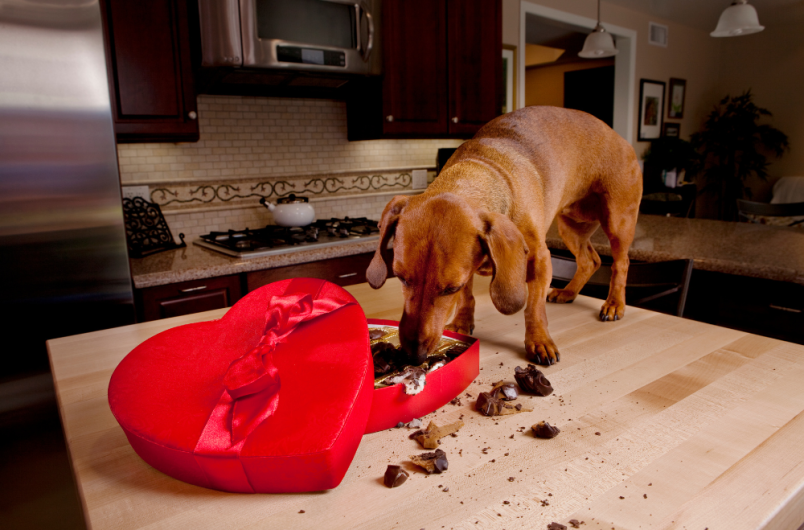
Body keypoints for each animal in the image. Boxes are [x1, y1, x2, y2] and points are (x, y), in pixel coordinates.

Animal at [370, 105, 640, 366]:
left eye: (450, 289)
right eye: (401, 278)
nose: (413, 356)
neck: (481, 169)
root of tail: (619, 137)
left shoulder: (540, 260)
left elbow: (533, 308)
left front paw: (539, 341)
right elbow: (467, 298)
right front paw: (461, 323)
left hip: (618, 222)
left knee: (621, 263)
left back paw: (614, 304)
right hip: (571, 226)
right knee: (590, 260)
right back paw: (569, 292)